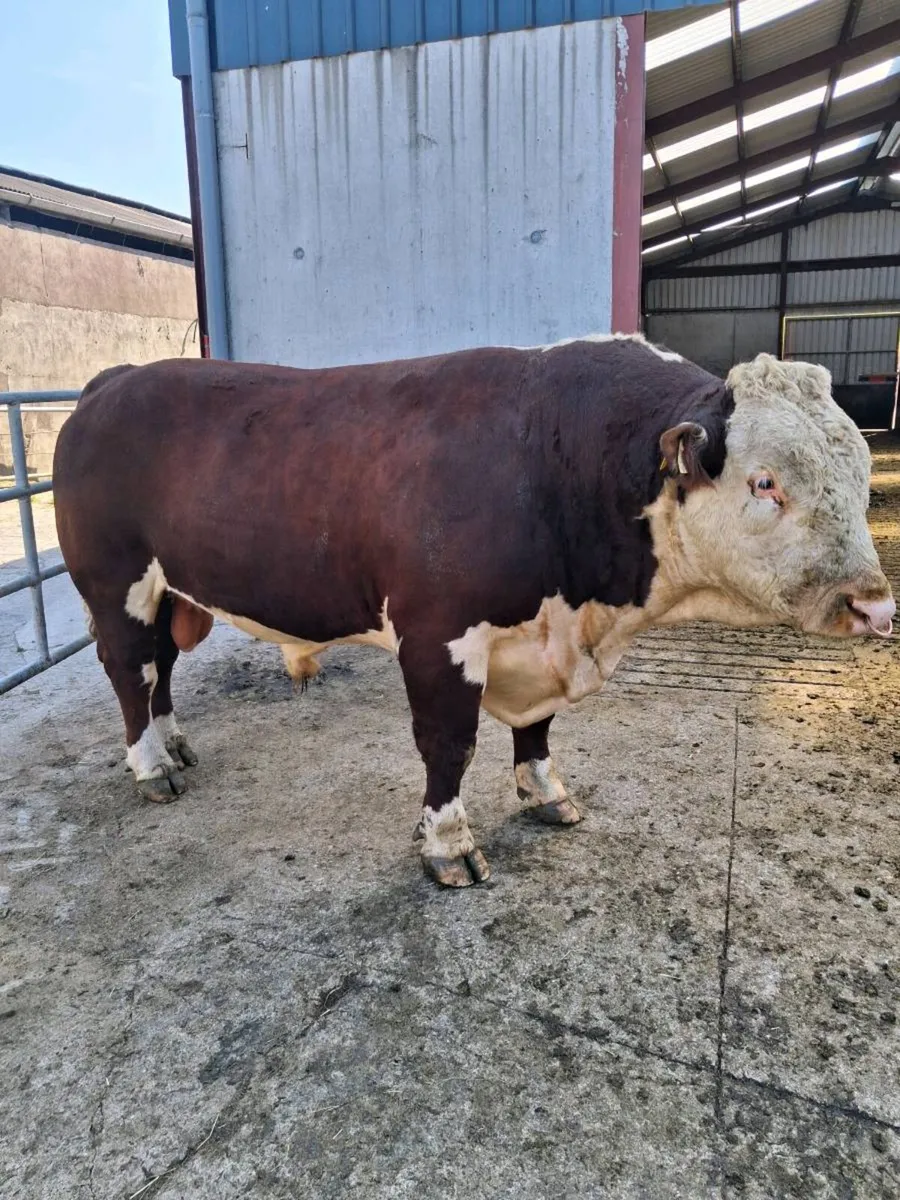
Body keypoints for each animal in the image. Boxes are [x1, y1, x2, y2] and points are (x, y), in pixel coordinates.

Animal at [53, 336, 895, 887]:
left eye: (859, 469)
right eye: (765, 482)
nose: (875, 604)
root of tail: (114, 381)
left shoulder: (542, 640)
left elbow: (538, 728)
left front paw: (547, 793)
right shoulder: (438, 633)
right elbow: (448, 745)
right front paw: (447, 844)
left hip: (168, 589)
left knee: (160, 666)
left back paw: (172, 742)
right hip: (114, 581)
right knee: (129, 670)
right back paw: (151, 766)